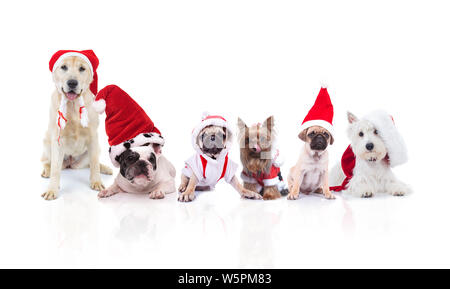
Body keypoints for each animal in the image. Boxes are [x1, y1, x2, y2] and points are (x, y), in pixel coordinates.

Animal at [41, 50, 111, 199]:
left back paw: (105, 168)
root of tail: (70, 163)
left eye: (82, 69)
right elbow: (55, 169)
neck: (73, 105)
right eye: (63, 67)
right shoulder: (58, 139)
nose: (72, 82)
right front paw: (52, 189)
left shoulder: (93, 136)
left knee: (91, 163)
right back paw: (46, 171)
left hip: (93, 151)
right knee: (46, 162)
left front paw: (96, 181)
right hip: (47, 144)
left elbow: (94, 163)